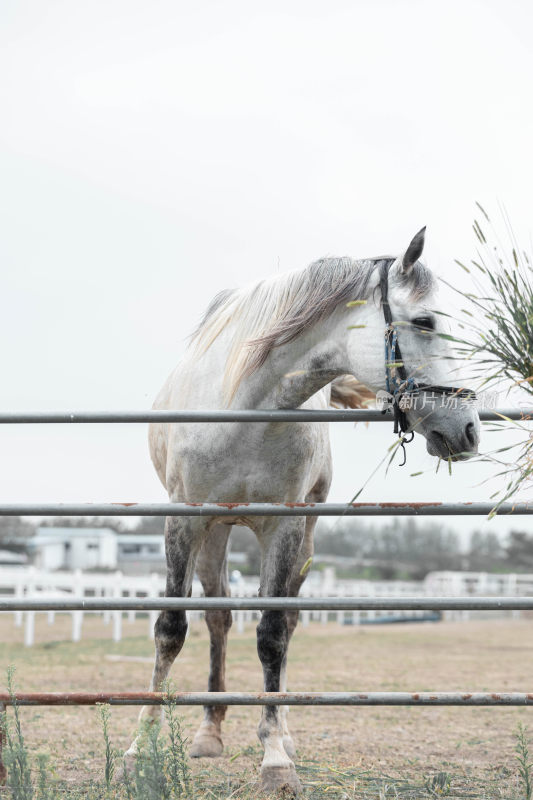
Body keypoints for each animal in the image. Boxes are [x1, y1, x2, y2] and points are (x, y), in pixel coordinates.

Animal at [127, 230, 480, 792]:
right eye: (426, 322)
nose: (469, 429)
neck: (245, 407)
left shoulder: (286, 526)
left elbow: (272, 635)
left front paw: (275, 758)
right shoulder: (184, 519)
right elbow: (171, 630)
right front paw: (139, 750)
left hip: (303, 538)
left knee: (286, 623)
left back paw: (281, 731)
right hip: (216, 534)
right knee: (218, 620)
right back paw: (209, 732)